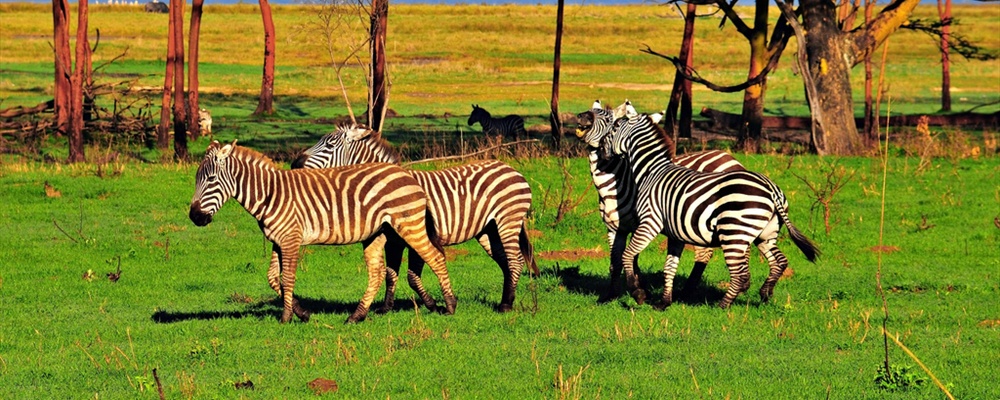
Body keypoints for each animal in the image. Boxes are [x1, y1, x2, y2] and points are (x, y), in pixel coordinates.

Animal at [188, 140, 457, 323]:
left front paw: (286, 317)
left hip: (408, 224)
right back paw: (357, 316)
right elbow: (273, 278)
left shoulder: (291, 238)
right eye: (196, 178)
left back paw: (449, 305)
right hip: (378, 232)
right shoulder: (277, 241)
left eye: (210, 179)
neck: (270, 193)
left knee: (435, 257)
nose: (194, 217)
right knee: (377, 273)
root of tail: (407, 174)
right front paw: (303, 312)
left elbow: (287, 278)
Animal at [292, 125, 536, 312]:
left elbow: (411, 275)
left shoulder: (414, 235)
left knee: (515, 260)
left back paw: (506, 306)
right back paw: (507, 300)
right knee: (505, 261)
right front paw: (385, 308)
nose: (294, 164)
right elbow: (391, 274)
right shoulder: (393, 240)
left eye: (329, 146)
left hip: (507, 221)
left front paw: (433, 305)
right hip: (488, 230)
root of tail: (509, 167)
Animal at [575, 100, 747, 303]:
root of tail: (730, 158)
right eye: (591, 111)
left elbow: (632, 257)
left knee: (709, 251)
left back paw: (689, 292)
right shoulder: (614, 228)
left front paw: (640, 290)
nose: (581, 116)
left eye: (609, 119)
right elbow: (615, 263)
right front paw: (611, 295)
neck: (612, 183)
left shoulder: (640, 223)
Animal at [588, 113, 818, 309]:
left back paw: (723, 306)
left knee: (740, 274)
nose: (601, 152)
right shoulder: (675, 234)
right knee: (779, 262)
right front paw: (664, 303)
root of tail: (771, 188)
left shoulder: (649, 222)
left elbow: (627, 255)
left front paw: (638, 293)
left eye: (614, 127)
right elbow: (669, 267)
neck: (651, 171)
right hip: (764, 234)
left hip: (734, 234)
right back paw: (765, 295)